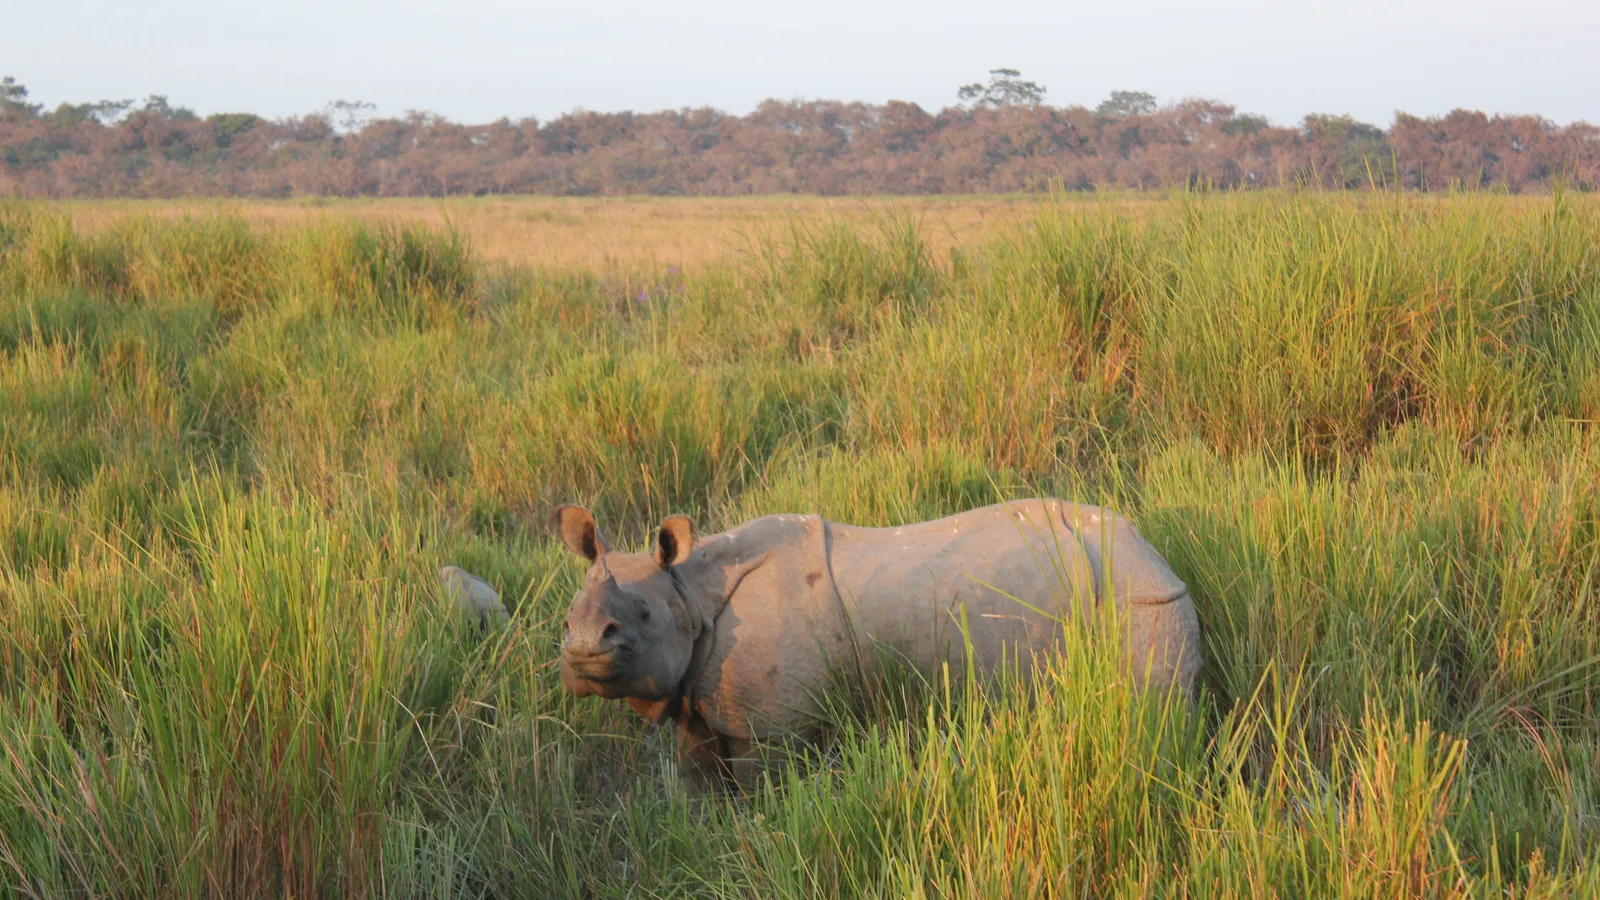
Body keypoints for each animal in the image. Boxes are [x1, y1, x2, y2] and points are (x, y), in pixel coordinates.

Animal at [554, 498, 1202, 791]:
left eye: (642, 615)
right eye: (566, 620)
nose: (582, 649)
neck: (689, 591)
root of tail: (1152, 552)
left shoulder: (771, 727)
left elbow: (763, 792)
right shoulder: (699, 699)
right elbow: (700, 783)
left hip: (1140, 599)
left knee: (1152, 710)